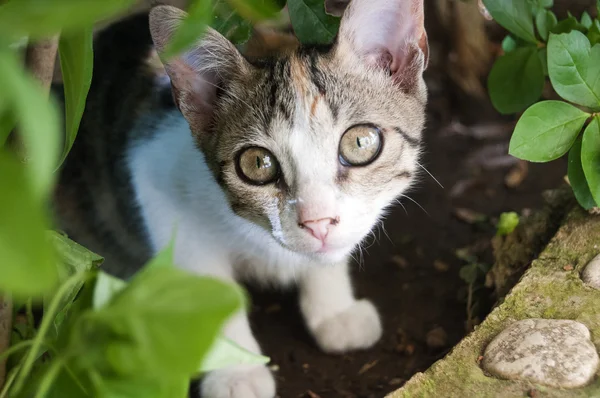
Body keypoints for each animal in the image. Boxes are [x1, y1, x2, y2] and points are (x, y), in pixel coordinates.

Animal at [51, 1, 426, 396]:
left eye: (360, 143)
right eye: (257, 164)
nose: (317, 222)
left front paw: (334, 310)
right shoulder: (153, 175)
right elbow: (212, 290)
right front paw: (236, 371)